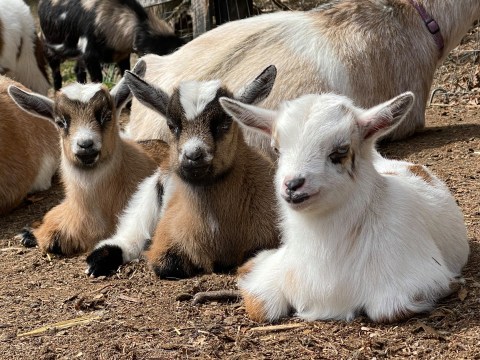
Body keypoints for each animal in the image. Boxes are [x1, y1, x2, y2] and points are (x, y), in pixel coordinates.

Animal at [39, 0, 185, 90]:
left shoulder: (122, 56)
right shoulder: (90, 57)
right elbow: (97, 82)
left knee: (78, 72)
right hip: (51, 53)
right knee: (56, 77)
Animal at [221, 91, 468, 322]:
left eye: (340, 150)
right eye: (276, 149)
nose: (292, 185)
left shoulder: (423, 279)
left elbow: (388, 310)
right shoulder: (268, 270)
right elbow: (259, 305)